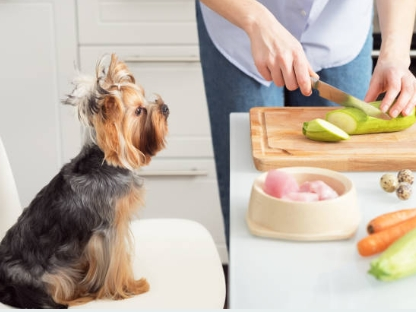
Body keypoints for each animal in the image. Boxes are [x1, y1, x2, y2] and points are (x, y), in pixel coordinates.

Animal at [0, 53, 170, 308]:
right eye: (139, 111)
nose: (165, 107)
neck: (106, 161)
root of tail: (5, 283)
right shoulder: (110, 228)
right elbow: (118, 262)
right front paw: (130, 288)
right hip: (53, 276)